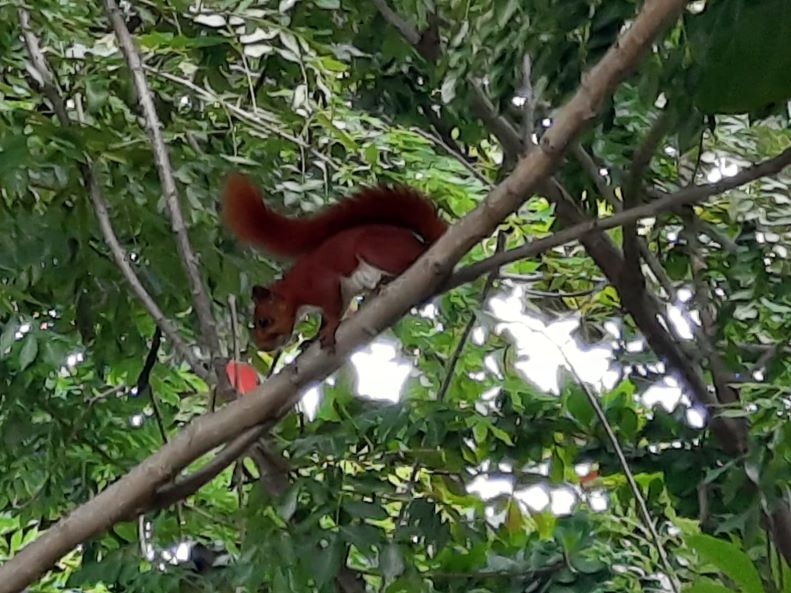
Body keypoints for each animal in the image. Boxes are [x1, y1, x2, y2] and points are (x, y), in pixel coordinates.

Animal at [222, 173, 447, 351]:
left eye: (264, 321)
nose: (262, 347)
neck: (293, 292)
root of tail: (426, 243)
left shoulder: (322, 284)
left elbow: (333, 311)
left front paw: (329, 330)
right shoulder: (343, 292)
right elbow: (330, 314)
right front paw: (311, 340)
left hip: (375, 250)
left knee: (409, 261)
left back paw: (387, 281)